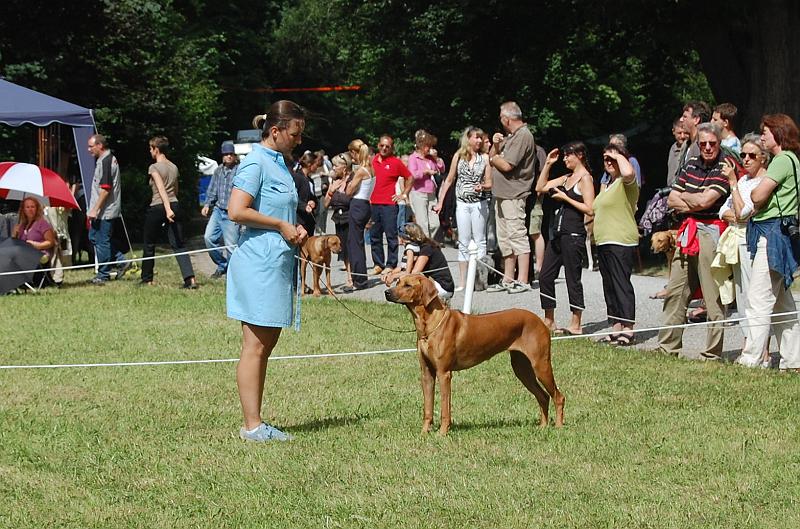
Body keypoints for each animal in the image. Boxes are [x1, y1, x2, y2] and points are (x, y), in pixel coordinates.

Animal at [386, 272, 564, 434]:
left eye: (408, 285)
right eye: (397, 281)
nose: (387, 292)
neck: (429, 325)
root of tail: (540, 321)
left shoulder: (444, 373)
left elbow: (445, 408)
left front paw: (442, 433)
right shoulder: (427, 373)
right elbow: (428, 408)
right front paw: (424, 433)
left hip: (540, 365)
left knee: (558, 396)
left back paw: (558, 426)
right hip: (522, 369)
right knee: (543, 396)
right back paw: (543, 426)